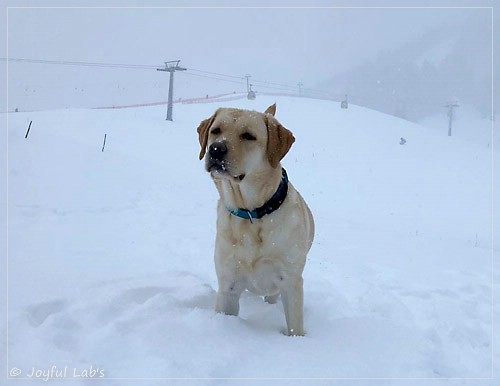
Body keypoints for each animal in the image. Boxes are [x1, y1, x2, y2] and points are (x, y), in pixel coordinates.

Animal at [197, 102, 314, 334]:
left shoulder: (290, 281)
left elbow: (295, 327)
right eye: (216, 131)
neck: (250, 213)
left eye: (248, 136)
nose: (216, 149)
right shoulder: (229, 283)